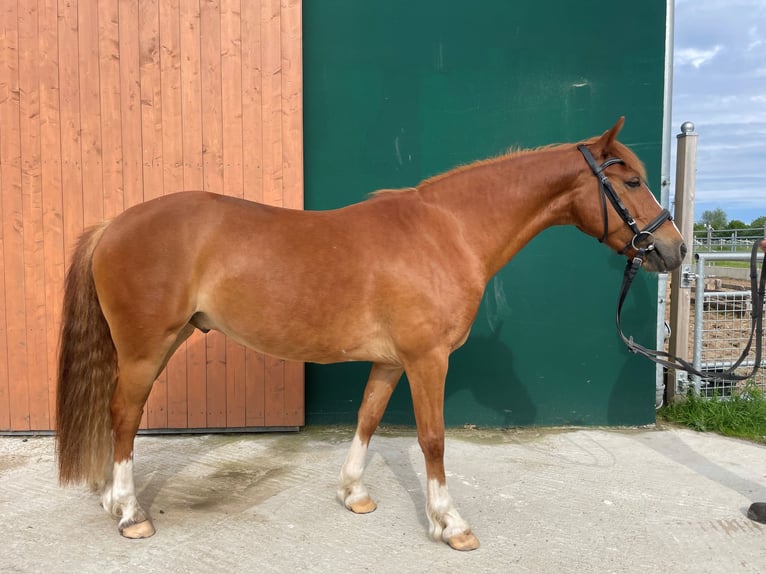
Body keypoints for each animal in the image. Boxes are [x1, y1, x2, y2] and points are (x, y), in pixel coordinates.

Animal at [57, 118, 688, 552]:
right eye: (633, 180)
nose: (675, 250)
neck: (448, 231)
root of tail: (113, 224)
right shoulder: (427, 359)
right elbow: (433, 439)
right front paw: (450, 523)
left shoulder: (391, 361)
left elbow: (366, 419)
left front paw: (353, 494)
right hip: (148, 349)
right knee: (123, 416)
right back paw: (130, 513)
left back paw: (113, 499)